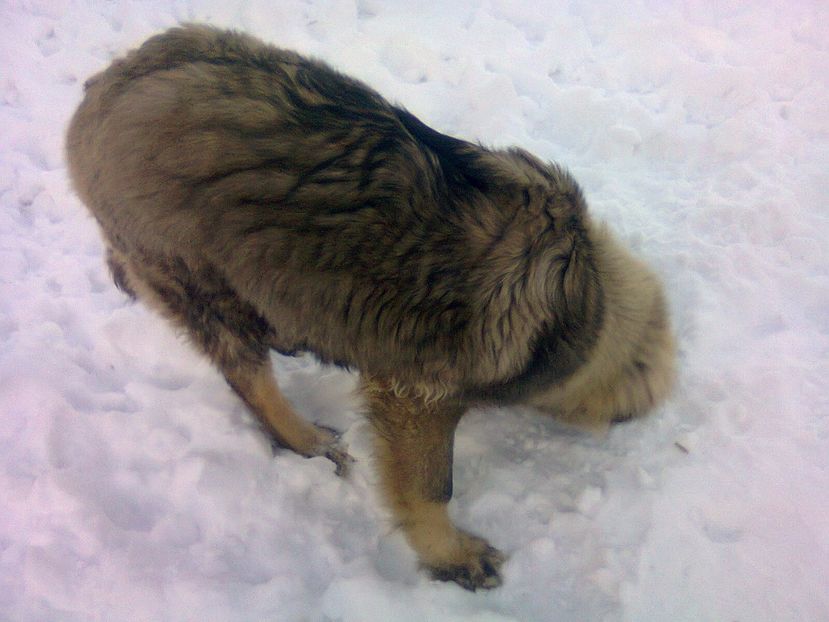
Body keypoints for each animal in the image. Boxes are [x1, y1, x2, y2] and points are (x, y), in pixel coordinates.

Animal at [64, 23, 672, 588]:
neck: (583, 300)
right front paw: (451, 555)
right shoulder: (418, 398)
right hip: (198, 280)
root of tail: (103, 91)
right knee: (250, 382)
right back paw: (305, 440)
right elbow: (430, 487)